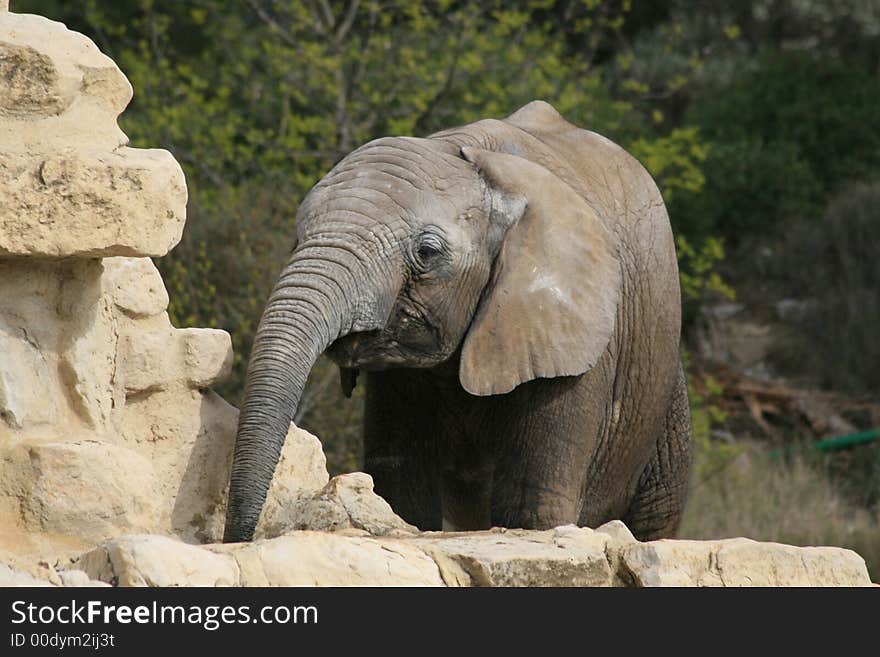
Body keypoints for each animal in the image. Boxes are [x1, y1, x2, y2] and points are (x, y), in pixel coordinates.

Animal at [223, 100, 692, 540]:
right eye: (297, 240)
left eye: (427, 252)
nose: (240, 536)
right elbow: (403, 496)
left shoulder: (577, 349)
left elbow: (530, 508)